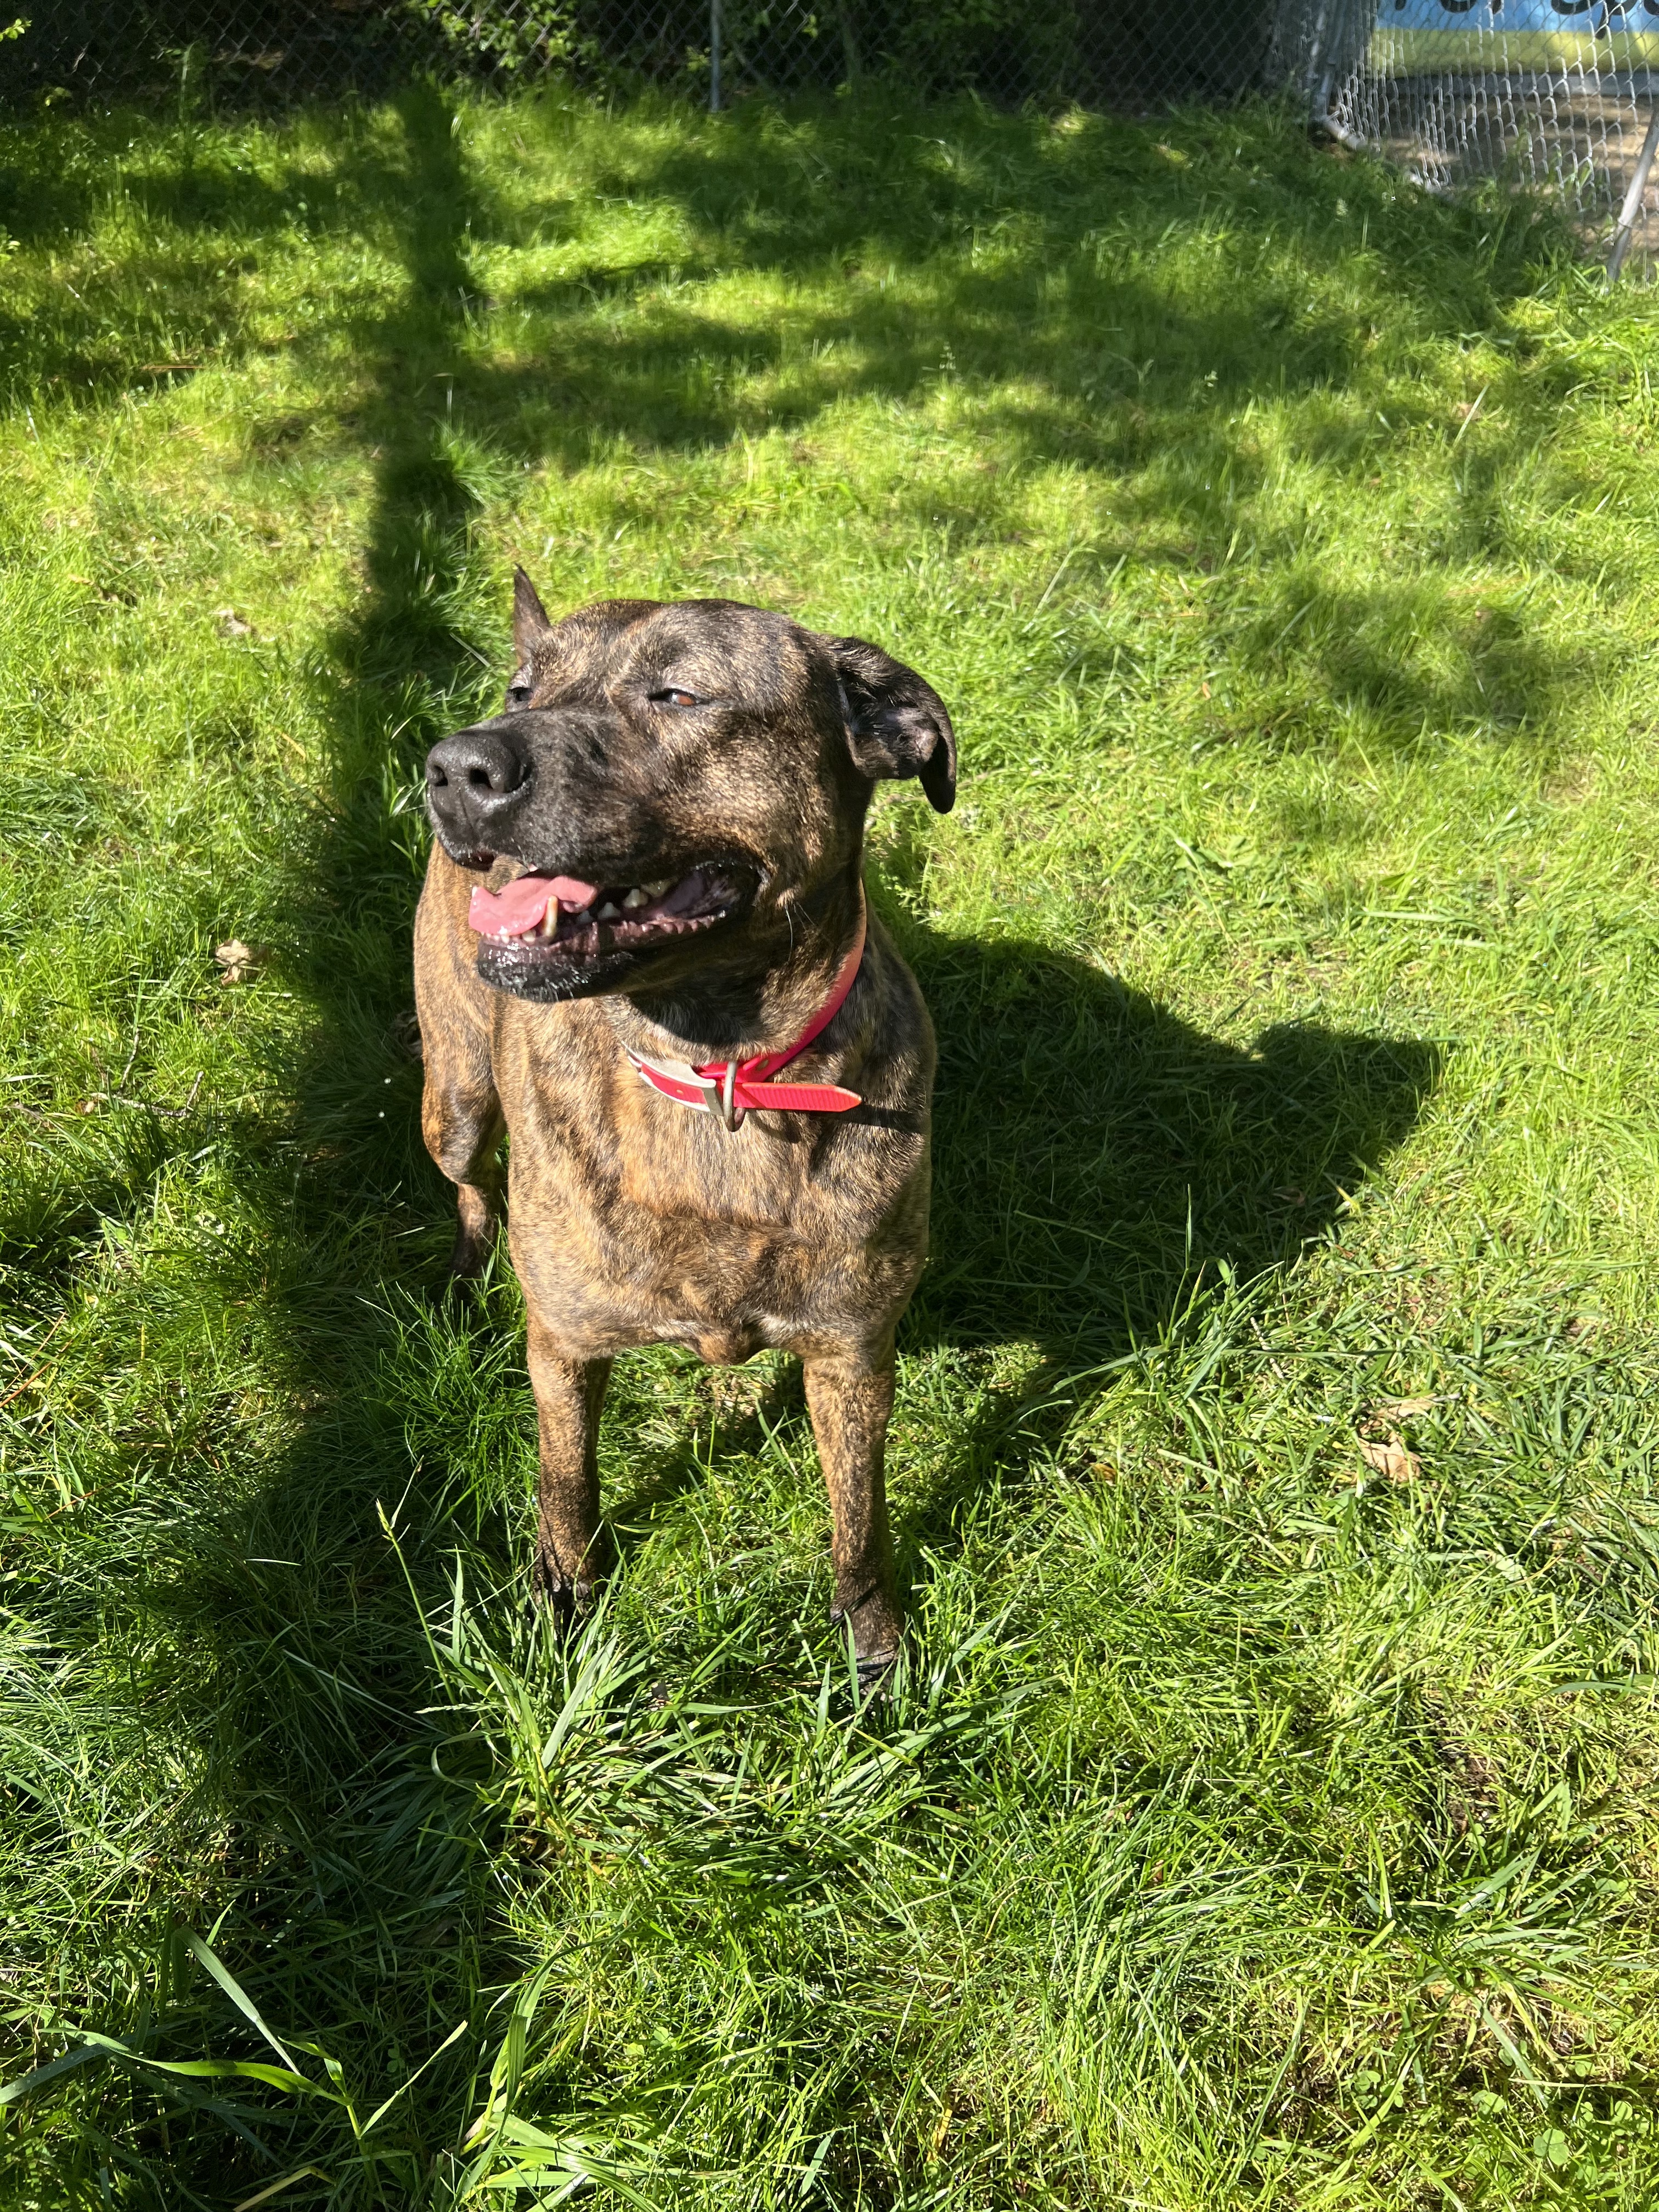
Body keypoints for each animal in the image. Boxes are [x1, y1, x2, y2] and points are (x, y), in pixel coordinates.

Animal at [416, 571, 955, 1672]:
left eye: (677, 695)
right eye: (524, 687)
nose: (454, 765)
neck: (717, 1076)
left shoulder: (851, 1354)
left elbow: (859, 1515)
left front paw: (871, 1643)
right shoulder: (565, 1349)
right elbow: (566, 1487)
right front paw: (563, 1598)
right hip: (453, 1099)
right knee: (469, 1178)